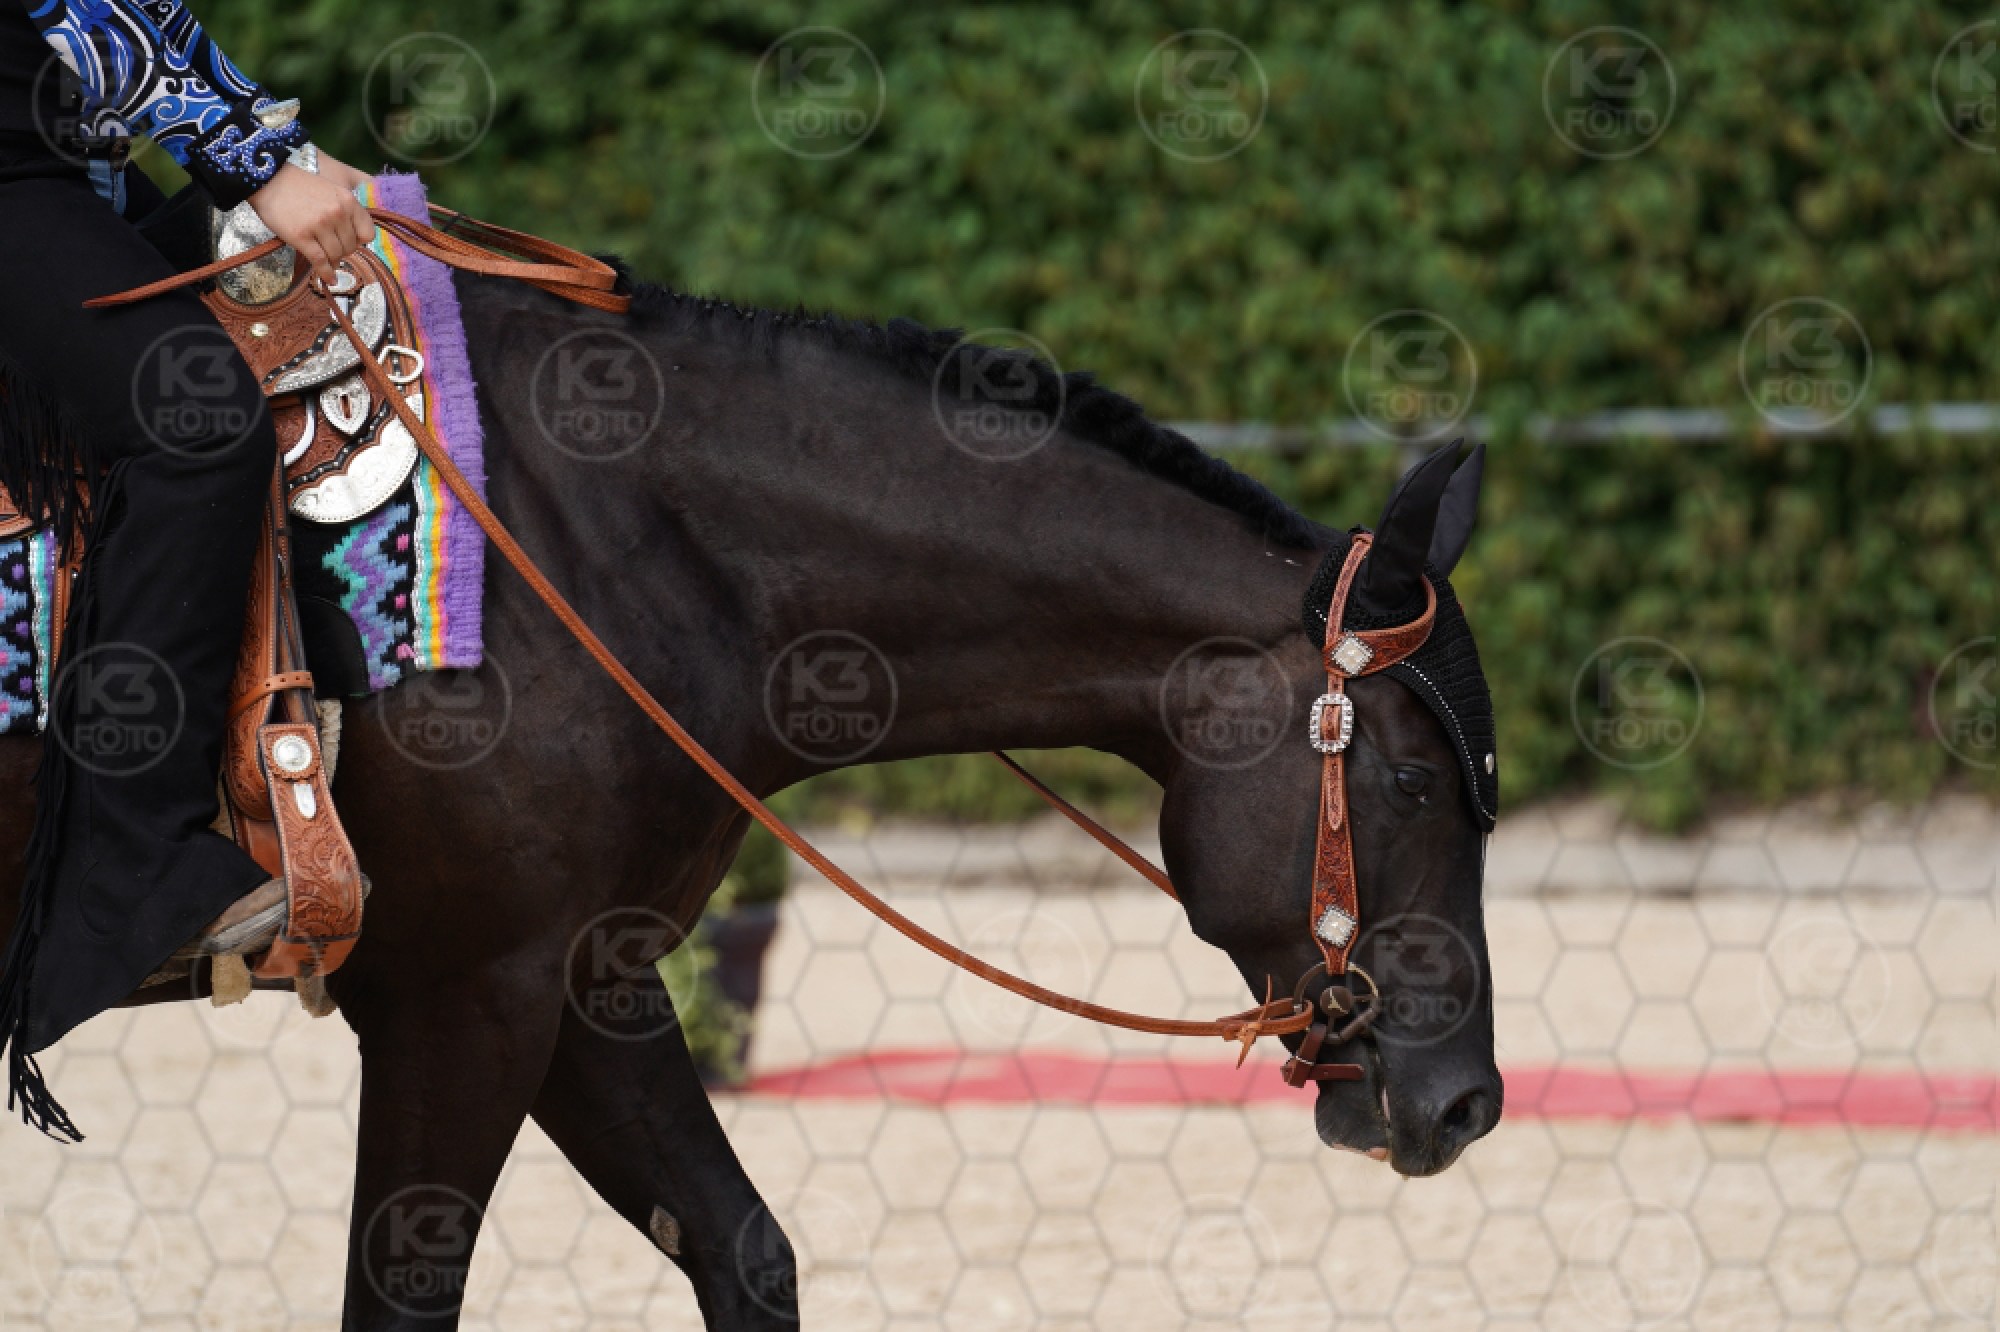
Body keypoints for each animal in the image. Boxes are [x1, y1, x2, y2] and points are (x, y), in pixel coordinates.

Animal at [0, 265, 1501, 1329]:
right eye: (1410, 775)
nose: (1467, 1103)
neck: (602, 553)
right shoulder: (459, 997)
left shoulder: (582, 981)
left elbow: (746, 1256)